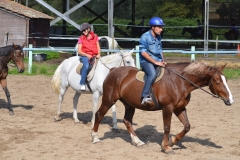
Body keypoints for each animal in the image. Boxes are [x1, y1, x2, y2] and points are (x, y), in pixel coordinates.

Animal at [91, 61, 233, 154]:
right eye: (218, 82)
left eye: (226, 80)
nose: (230, 100)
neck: (180, 81)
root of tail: (113, 70)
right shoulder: (168, 108)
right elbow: (167, 127)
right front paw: (166, 147)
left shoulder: (179, 108)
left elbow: (187, 126)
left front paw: (172, 141)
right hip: (109, 100)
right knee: (99, 115)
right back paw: (95, 138)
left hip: (129, 105)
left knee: (127, 121)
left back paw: (137, 142)